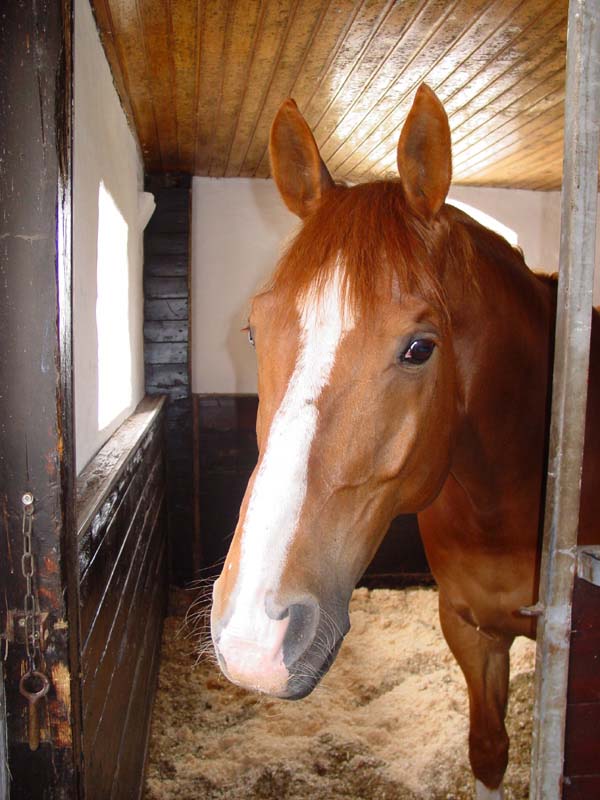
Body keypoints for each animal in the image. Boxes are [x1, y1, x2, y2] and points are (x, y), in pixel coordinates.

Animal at [209, 84, 596, 796]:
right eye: (252, 331)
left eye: (419, 348)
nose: (253, 638)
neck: (509, 492)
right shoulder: (468, 627)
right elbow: (488, 750)